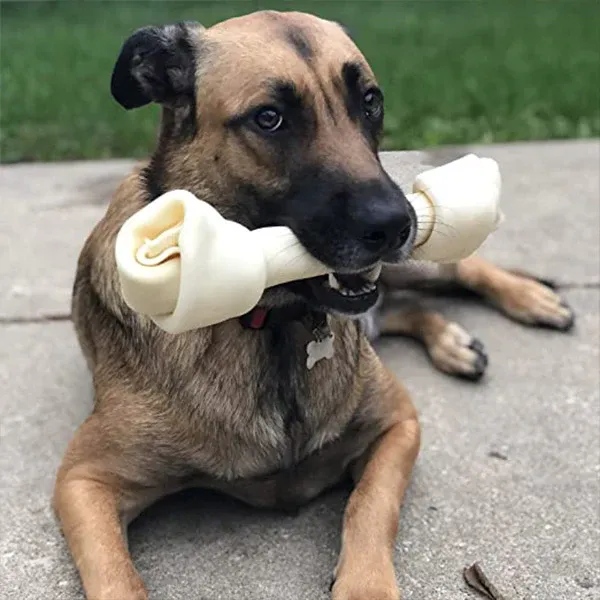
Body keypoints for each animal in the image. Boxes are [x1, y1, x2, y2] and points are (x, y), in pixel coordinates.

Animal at [54, 10, 576, 600]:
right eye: (270, 118)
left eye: (370, 101)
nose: (395, 224)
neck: (270, 322)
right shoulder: (84, 480)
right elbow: (117, 579)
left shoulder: (398, 425)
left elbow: (369, 506)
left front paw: (365, 584)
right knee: (403, 311)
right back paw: (452, 341)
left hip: (419, 262)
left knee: (461, 271)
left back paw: (531, 299)